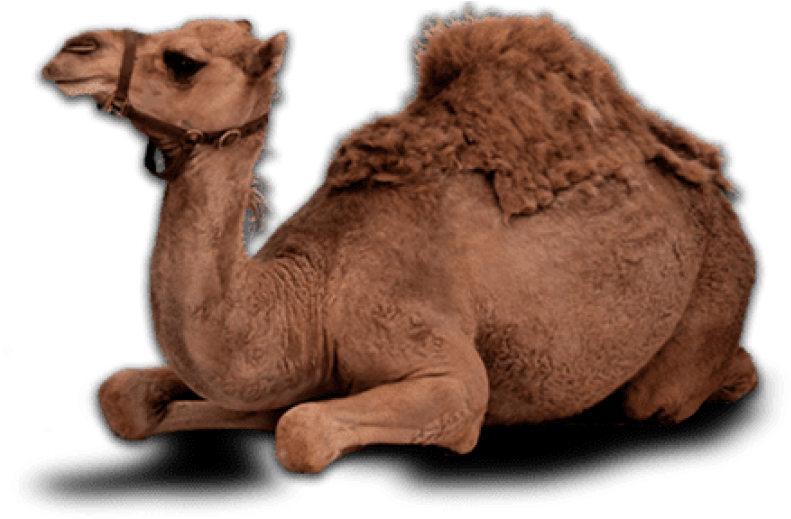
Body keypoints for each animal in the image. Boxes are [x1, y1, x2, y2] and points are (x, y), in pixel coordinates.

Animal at [41, 13, 758, 474]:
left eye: (183, 61)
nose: (74, 49)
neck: (308, 293)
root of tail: (718, 192)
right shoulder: (289, 368)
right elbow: (123, 395)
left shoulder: (446, 368)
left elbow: (300, 428)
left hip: (714, 287)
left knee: (670, 391)